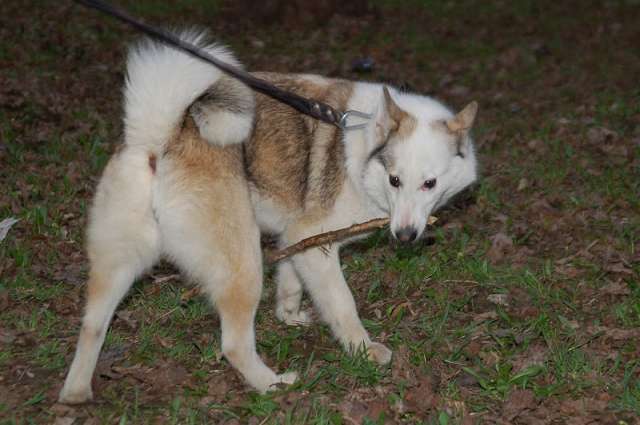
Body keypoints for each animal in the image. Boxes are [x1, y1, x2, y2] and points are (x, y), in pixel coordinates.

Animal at [60, 29, 478, 400]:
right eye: (395, 180)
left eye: (429, 184)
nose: (405, 236)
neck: (363, 143)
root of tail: (159, 138)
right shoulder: (315, 242)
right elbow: (342, 305)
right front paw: (363, 349)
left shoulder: (297, 237)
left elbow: (291, 280)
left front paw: (289, 316)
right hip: (244, 265)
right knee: (233, 344)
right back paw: (273, 385)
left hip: (118, 261)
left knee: (92, 326)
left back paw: (76, 393)